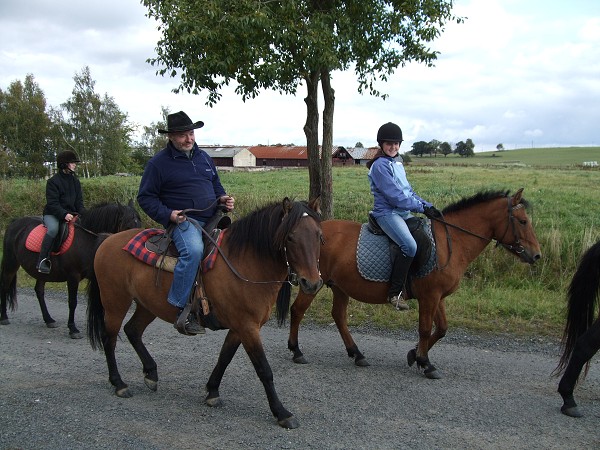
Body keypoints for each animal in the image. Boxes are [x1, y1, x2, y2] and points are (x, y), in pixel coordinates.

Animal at [0, 201, 141, 338]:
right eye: (128, 226)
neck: (87, 239)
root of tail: (15, 222)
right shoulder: (73, 276)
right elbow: (73, 302)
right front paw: (73, 329)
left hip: (42, 273)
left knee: (39, 291)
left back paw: (49, 320)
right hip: (11, 263)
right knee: (5, 286)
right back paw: (4, 317)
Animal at [86, 198, 324, 428]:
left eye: (319, 236)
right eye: (290, 237)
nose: (311, 283)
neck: (246, 262)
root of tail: (109, 239)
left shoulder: (239, 328)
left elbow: (224, 358)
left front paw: (212, 391)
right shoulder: (248, 327)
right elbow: (264, 370)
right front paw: (282, 413)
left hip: (147, 305)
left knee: (132, 330)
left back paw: (151, 373)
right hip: (115, 302)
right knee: (109, 339)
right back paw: (119, 383)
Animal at [288, 188, 540, 378]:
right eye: (523, 221)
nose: (536, 255)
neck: (451, 241)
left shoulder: (438, 297)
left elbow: (442, 329)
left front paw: (414, 354)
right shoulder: (429, 296)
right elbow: (425, 329)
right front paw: (425, 362)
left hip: (340, 286)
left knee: (339, 316)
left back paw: (356, 353)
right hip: (312, 283)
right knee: (297, 310)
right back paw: (296, 350)